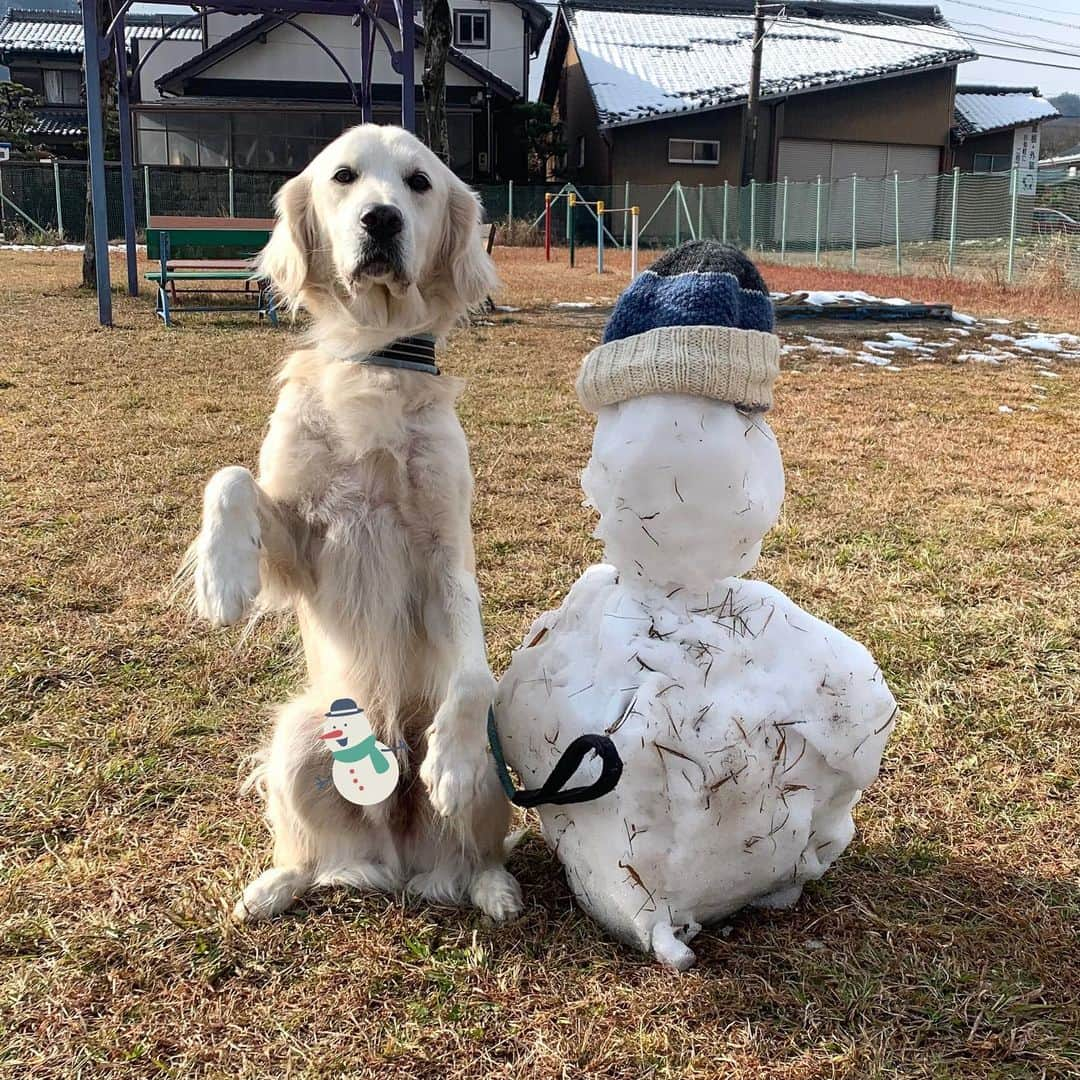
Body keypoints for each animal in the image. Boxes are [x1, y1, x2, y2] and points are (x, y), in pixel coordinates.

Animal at [182, 124, 522, 920]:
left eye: (418, 182)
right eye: (343, 177)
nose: (382, 219)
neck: (377, 354)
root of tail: (400, 858)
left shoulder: (446, 553)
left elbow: (472, 677)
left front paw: (449, 762)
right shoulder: (304, 542)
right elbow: (230, 475)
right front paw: (222, 578)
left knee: (478, 851)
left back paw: (490, 884)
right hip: (297, 736)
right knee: (317, 855)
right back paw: (277, 885)